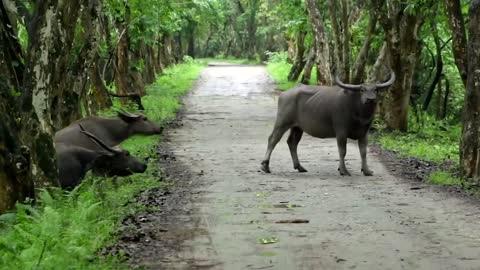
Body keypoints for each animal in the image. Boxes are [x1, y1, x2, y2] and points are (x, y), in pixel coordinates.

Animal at [260, 71, 396, 175]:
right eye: (362, 90)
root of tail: (285, 93)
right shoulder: (341, 131)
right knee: (273, 139)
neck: (358, 114)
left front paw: (366, 170)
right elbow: (342, 151)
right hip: (282, 122)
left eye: (375, 90)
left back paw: (299, 167)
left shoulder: (364, 133)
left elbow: (363, 152)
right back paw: (265, 166)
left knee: (292, 142)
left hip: (297, 127)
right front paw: (343, 170)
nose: (370, 99)